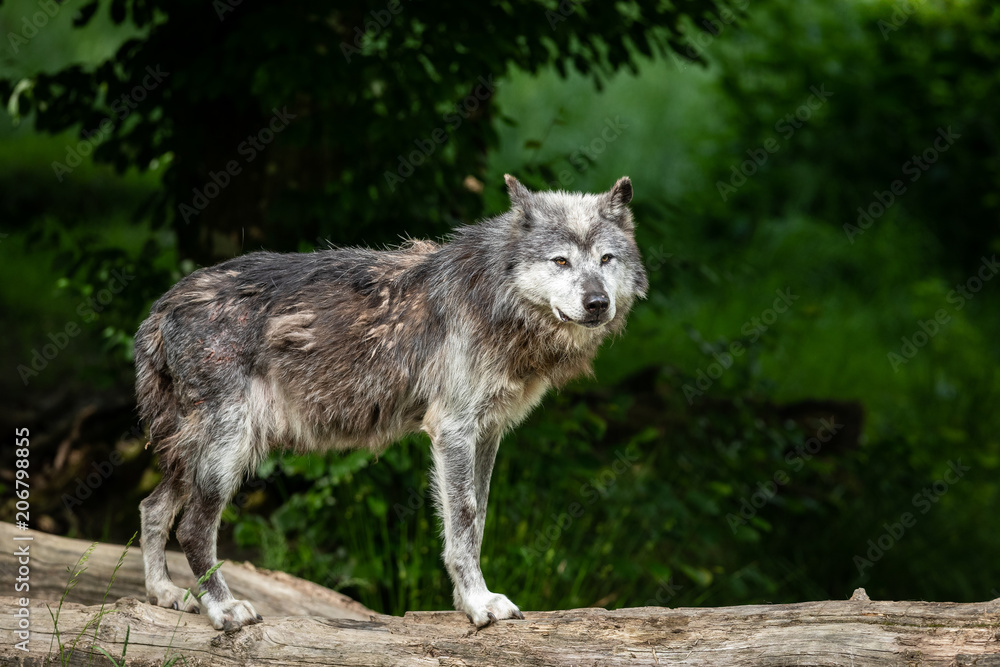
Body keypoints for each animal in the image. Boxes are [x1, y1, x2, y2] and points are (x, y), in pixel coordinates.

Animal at [135, 175, 647, 631]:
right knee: (193, 528)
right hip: (230, 448)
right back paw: (224, 610)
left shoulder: (487, 434)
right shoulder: (453, 430)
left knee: (152, 507)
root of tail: (161, 306)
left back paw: (163, 594)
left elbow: (476, 520)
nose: (598, 302)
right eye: (560, 261)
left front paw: (468, 600)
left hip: (199, 451)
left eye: (606, 259)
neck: (498, 301)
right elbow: (464, 521)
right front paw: (480, 605)